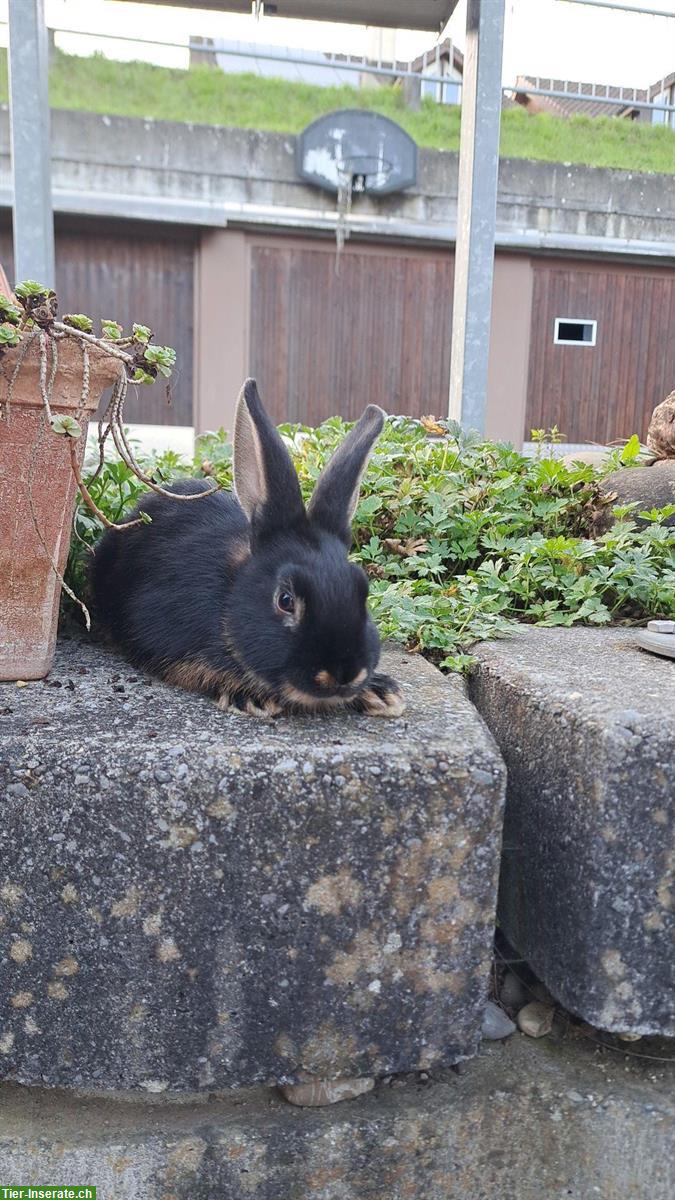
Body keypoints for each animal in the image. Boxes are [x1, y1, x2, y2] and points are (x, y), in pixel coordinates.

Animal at [90, 379, 403, 715]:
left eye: (363, 593)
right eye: (285, 600)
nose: (343, 674)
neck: (229, 595)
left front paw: (381, 692)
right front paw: (250, 695)